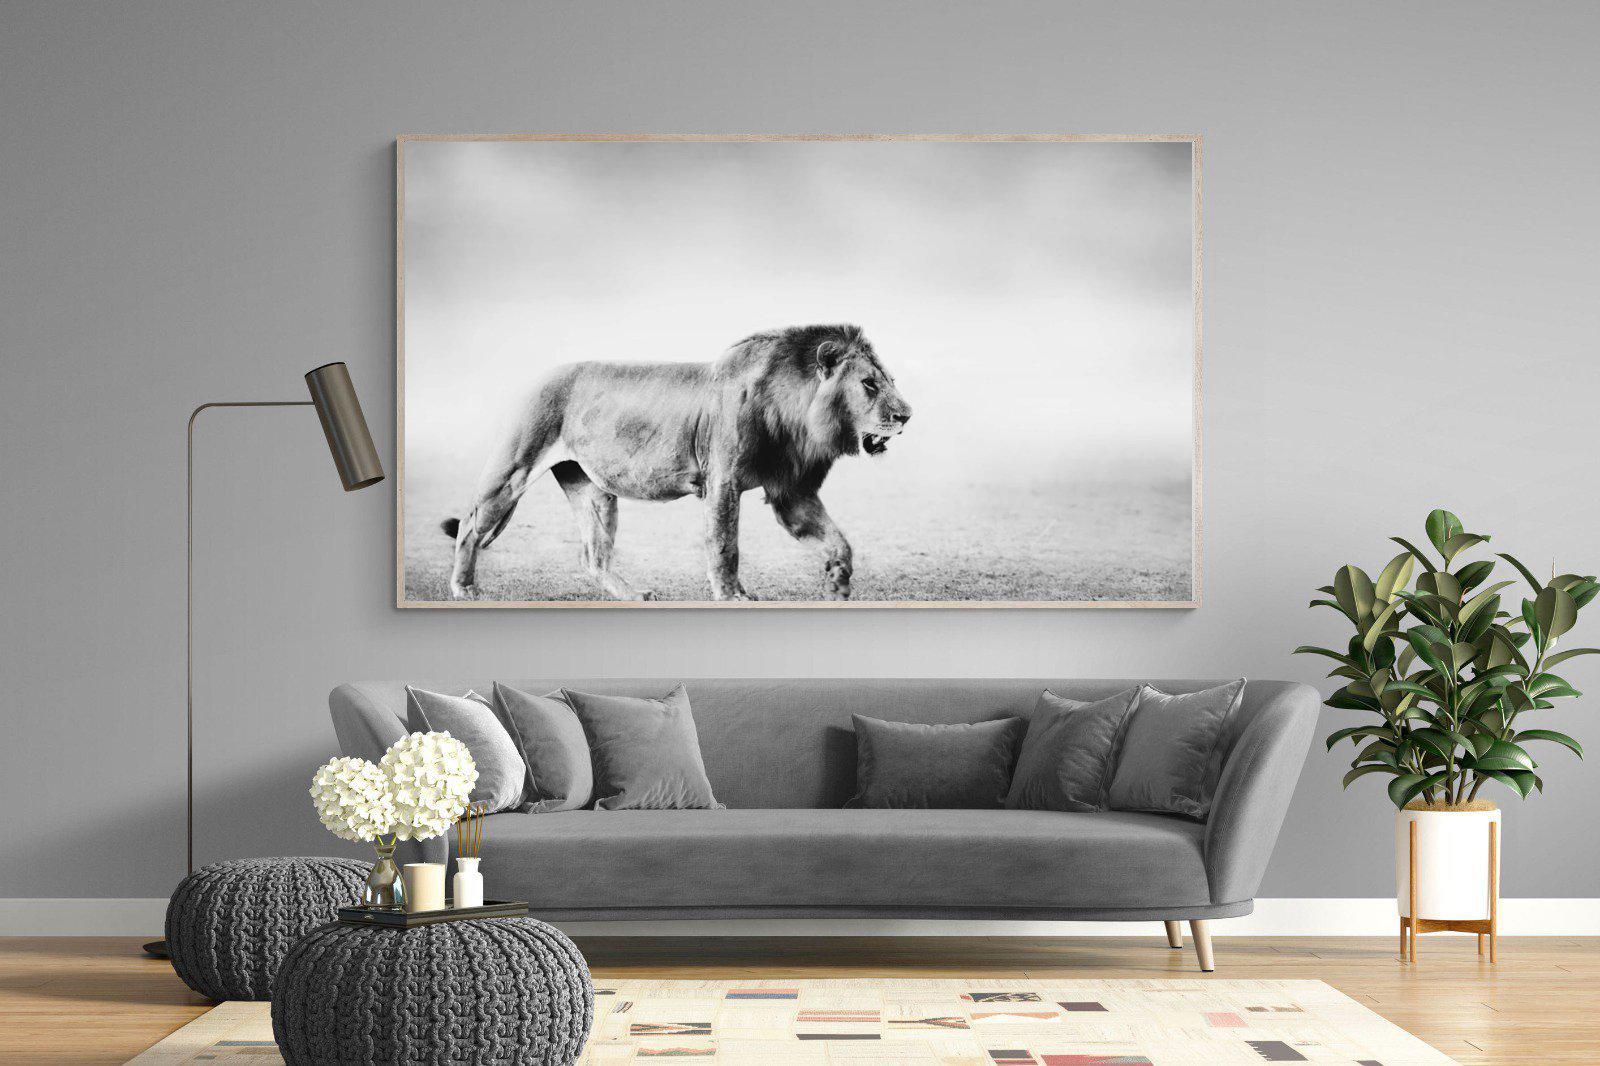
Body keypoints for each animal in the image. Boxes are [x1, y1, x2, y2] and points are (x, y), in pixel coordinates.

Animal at [440, 324, 912, 601]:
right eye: (869, 384)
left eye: (890, 381)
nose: (906, 415)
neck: (796, 415)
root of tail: (533, 378)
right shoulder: (722, 481)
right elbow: (724, 545)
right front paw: (731, 596)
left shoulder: (791, 491)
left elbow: (838, 540)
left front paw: (838, 580)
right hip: (511, 470)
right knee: (469, 527)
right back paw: (464, 589)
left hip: (594, 491)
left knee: (594, 556)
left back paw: (633, 596)